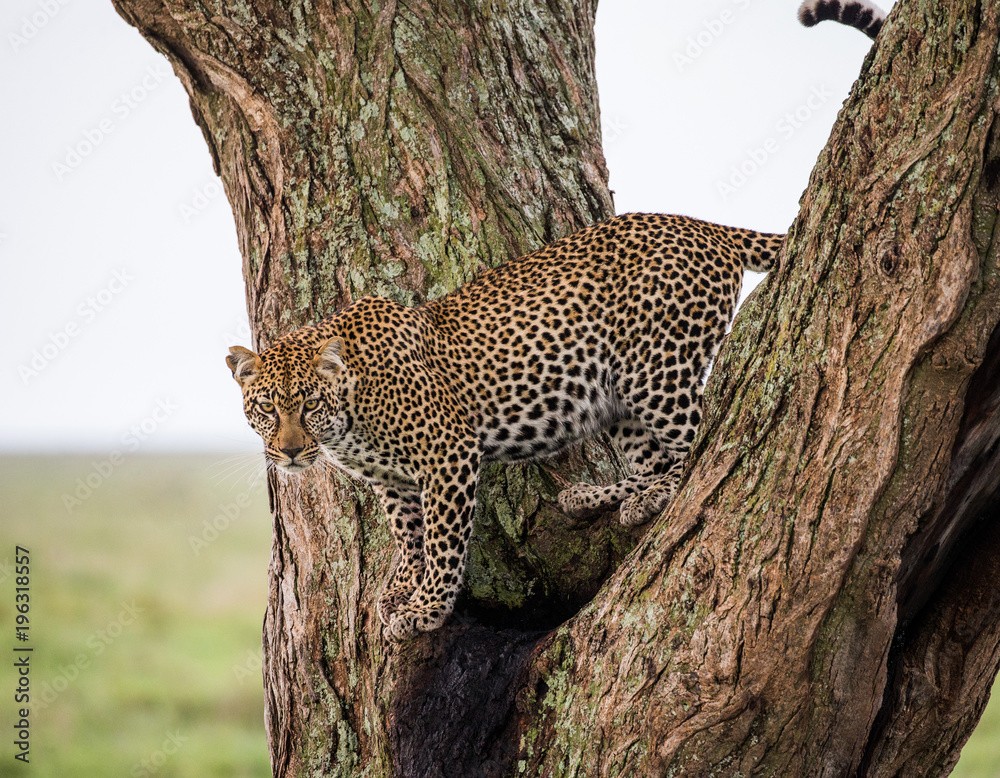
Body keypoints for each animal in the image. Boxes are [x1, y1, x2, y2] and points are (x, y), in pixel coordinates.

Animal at [227, 213, 784, 641]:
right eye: (268, 408)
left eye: (308, 404)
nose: (290, 453)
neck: (346, 421)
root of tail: (700, 224)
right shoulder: (391, 479)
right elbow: (408, 534)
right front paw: (402, 587)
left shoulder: (447, 453)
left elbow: (441, 540)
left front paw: (426, 608)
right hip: (616, 398)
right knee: (653, 461)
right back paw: (598, 496)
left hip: (657, 371)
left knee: (698, 444)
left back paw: (654, 493)